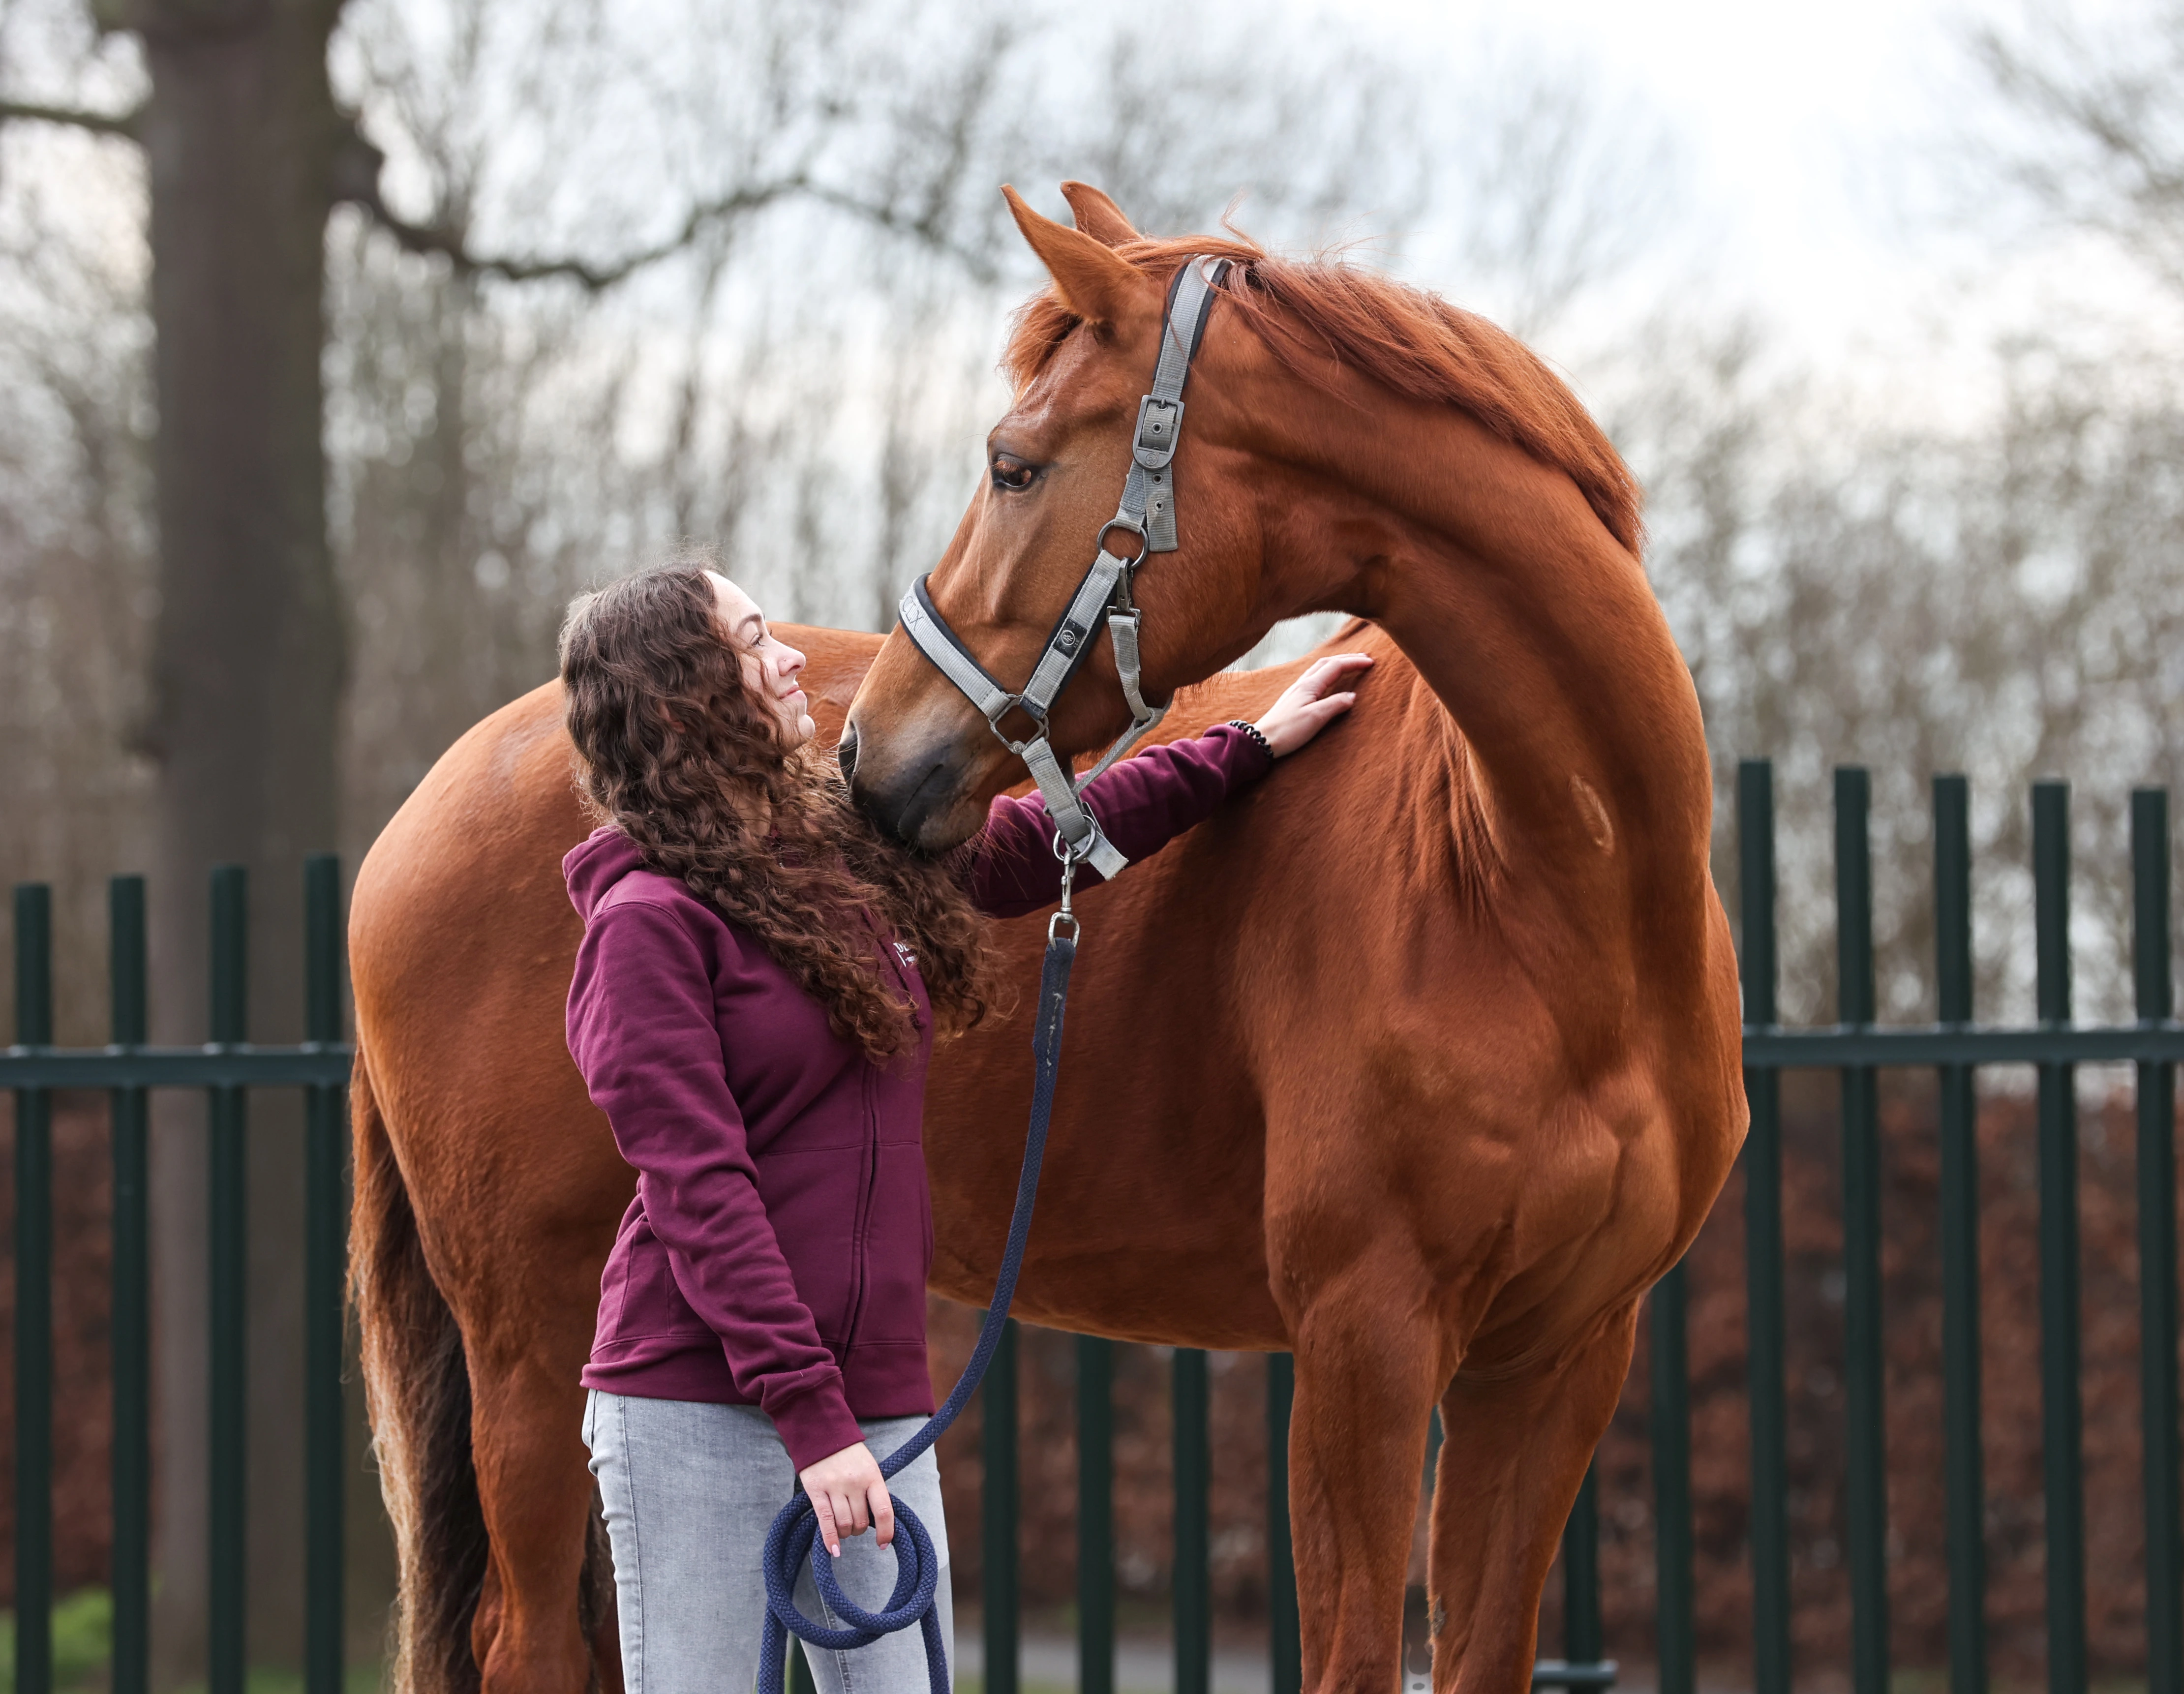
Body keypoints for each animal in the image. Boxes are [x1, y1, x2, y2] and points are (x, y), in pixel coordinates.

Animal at [346, 182, 1744, 1694]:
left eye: (1014, 467)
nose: (866, 756)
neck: (1534, 892)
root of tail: (415, 815)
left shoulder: (1553, 1363)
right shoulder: (1365, 1343)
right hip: (530, 1347)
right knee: (528, 1637)